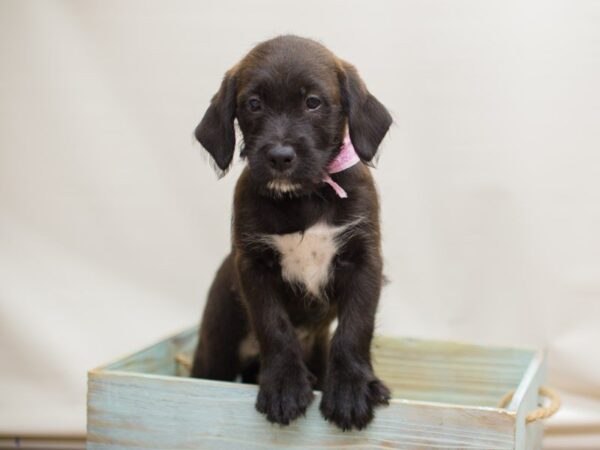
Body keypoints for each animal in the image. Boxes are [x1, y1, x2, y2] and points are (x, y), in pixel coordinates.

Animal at [190, 34, 392, 428]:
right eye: (253, 104)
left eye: (313, 102)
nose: (280, 157)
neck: (305, 196)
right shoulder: (254, 266)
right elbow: (274, 326)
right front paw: (284, 386)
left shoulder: (363, 261)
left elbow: (354, 327)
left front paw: (350, 389)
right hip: (216, 348)